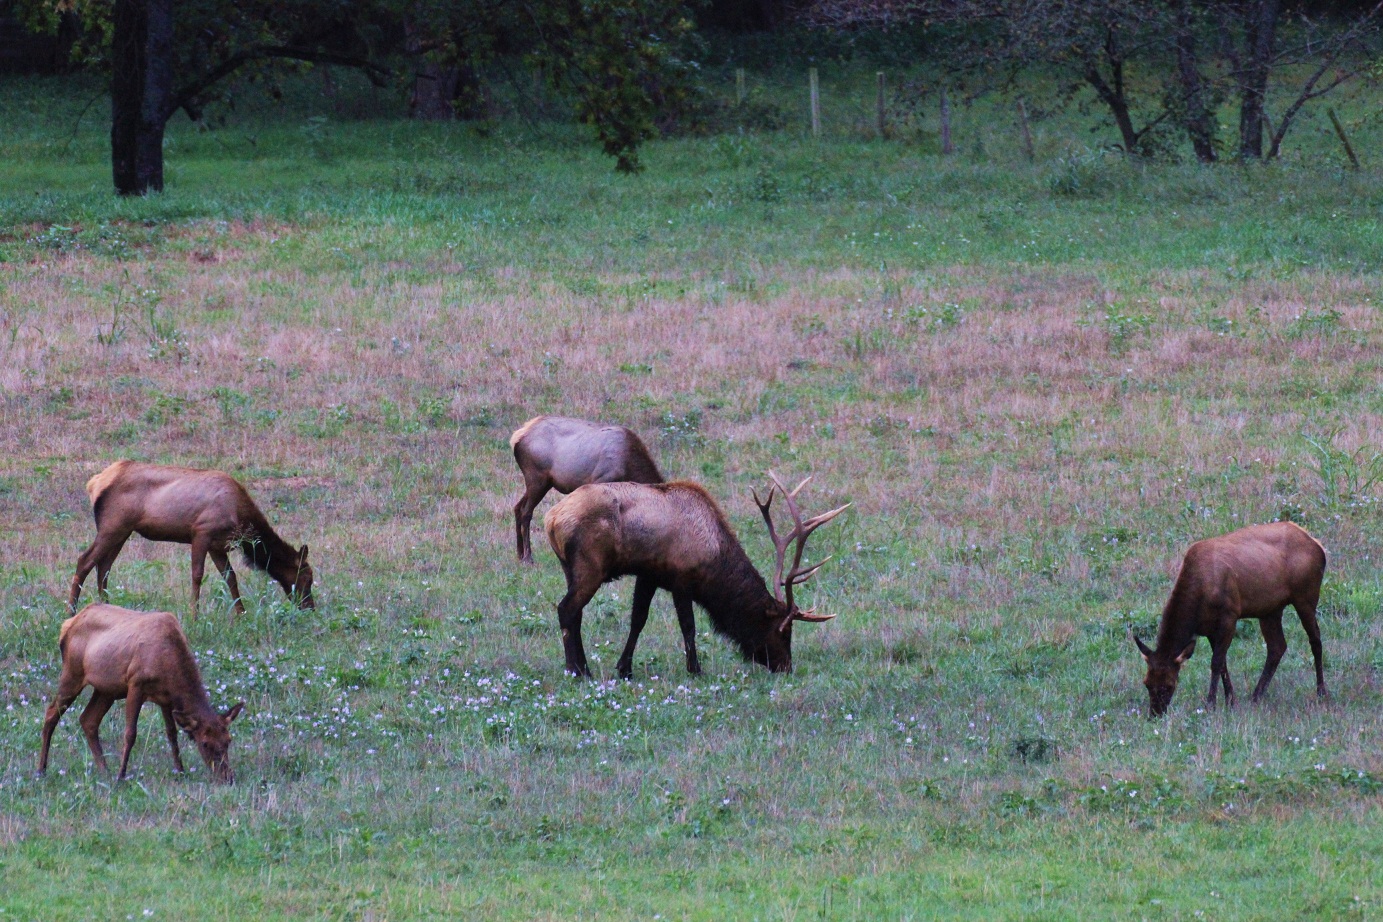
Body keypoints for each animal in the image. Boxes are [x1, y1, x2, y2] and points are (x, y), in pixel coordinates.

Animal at [39, 603, 245, 783]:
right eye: (204, 743)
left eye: (228, 740)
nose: (228, 777)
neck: (169, 666)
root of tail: (67, 625)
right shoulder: (135, 684)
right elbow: (130, 734)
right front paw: (121, 776)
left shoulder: (166, 699)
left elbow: (172, 734)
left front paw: (181, 771)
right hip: (72, 673)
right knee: (51, 713)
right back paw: (42, 769)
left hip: (106, 689)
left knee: (88, 720)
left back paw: (104, 770)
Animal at [69, 460, 314, 621]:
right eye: (307, 578)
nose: (310, 607)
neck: (241, 519)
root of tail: (94, 483)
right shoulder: (201, 532)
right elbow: (197, 575)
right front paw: (194, 616)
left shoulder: (218, 546)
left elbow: (230, 577)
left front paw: (241, 613)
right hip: (113, 526)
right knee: (84, 561)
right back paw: (71, 611)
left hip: (122, 531)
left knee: (104, 567)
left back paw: (107, 608)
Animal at [510, 415, 664, 563]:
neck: (630, 467)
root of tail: (517, 437)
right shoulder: (601, 481)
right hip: (537, 478)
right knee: (526, 512)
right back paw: (528, 557)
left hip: (542, 483)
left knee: (517, 507)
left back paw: (519, 553)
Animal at [543, 471, 849, 678]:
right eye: (783, 631)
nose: (786, 666)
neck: (714, 560)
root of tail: (552, 519)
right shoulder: (681, 579)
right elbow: (688, 626)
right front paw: (695, 669)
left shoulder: (649, 575)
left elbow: (637, 620)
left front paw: (624, 669)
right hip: (590, 567)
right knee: (566, 609)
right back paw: (577, 671)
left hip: (570, 569)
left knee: (575, 613)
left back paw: (582, 667)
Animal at [1133, 521, 1327, 717]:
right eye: (1146, 683)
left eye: (1169, 685)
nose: (1155, 714)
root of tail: (1318, 545)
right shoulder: (1209, 628)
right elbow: (1222, 663)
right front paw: (1231, 701)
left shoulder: (1230, 615)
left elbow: (1216, 662)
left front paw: (1211, 704)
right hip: (1270, 609)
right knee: (1277, 646)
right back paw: (1256, 696)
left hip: (1306, 595)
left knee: (1315, 640)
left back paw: (1321, 692)